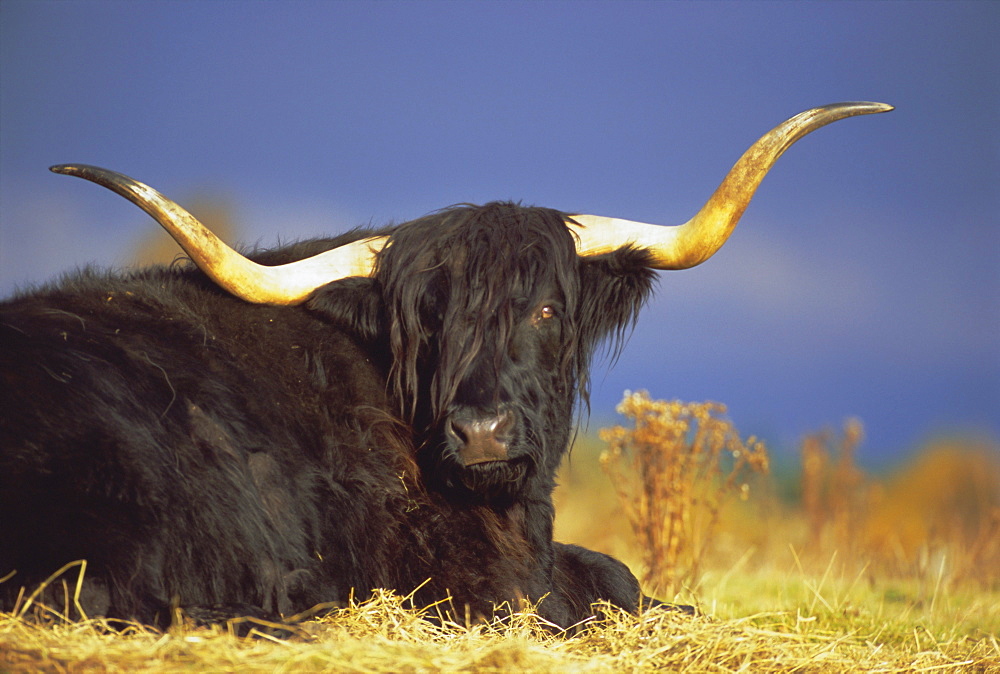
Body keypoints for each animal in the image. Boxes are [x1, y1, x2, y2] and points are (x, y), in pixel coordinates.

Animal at [0, 102, 892, 628]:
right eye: (426, 321)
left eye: (546, 310)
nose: (482, 432)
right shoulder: (472, 583)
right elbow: (600, 586)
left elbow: (617, 572)